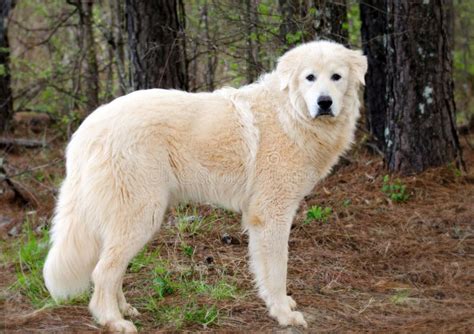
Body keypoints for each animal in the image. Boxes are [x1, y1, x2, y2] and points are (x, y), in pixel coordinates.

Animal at [43, 40, 366, 330]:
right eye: (310, 77)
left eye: (336, 77)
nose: (324, 103)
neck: (289, 114)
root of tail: (87, 128)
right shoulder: (271, 214)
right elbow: (277, 271)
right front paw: (283, 315)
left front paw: (282, 305)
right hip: (141, 216)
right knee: (103, 271)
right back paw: (113, 320)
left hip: (134, 220)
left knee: (112, 270)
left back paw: (124, 309)